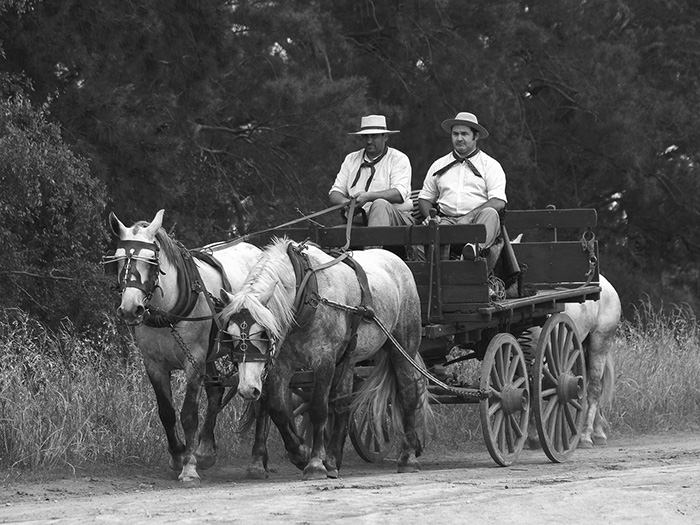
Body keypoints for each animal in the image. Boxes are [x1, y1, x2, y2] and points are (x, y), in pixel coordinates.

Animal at [106, 211, 262, 482]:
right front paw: (178, 455)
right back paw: (206, 450)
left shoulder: (193, 361)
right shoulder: (154, 365)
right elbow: (166, 412)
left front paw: (189, 467)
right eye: (117, 259)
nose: (130, 309)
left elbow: (188, 414)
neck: (167, 311)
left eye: (151, 260)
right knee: (216, 391)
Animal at [219, 237, 432, 478]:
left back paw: (408, 458)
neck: (306, 293)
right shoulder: (282, 365)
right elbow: (278, 409)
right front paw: (300, 453)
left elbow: (318, 409)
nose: (247, 389)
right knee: (342, 404)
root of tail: (397, 261)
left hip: (402, 347)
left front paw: (314, 464)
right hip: (349, 358)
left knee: (407, 394)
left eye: (263, 333)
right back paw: (332, 460)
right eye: (230, 335)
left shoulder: (325, 360)